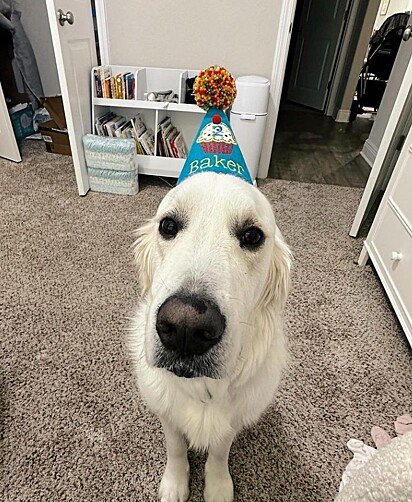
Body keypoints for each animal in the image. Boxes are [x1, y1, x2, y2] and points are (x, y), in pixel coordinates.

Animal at [130, 173, 292, 502]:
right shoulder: (167, 413)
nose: (185, 328)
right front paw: (175, 483)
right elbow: (175, 446)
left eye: (252, 236)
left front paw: (217, 486)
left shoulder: (232, 422)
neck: (201, 386)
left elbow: (219, 452)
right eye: (168, 226)